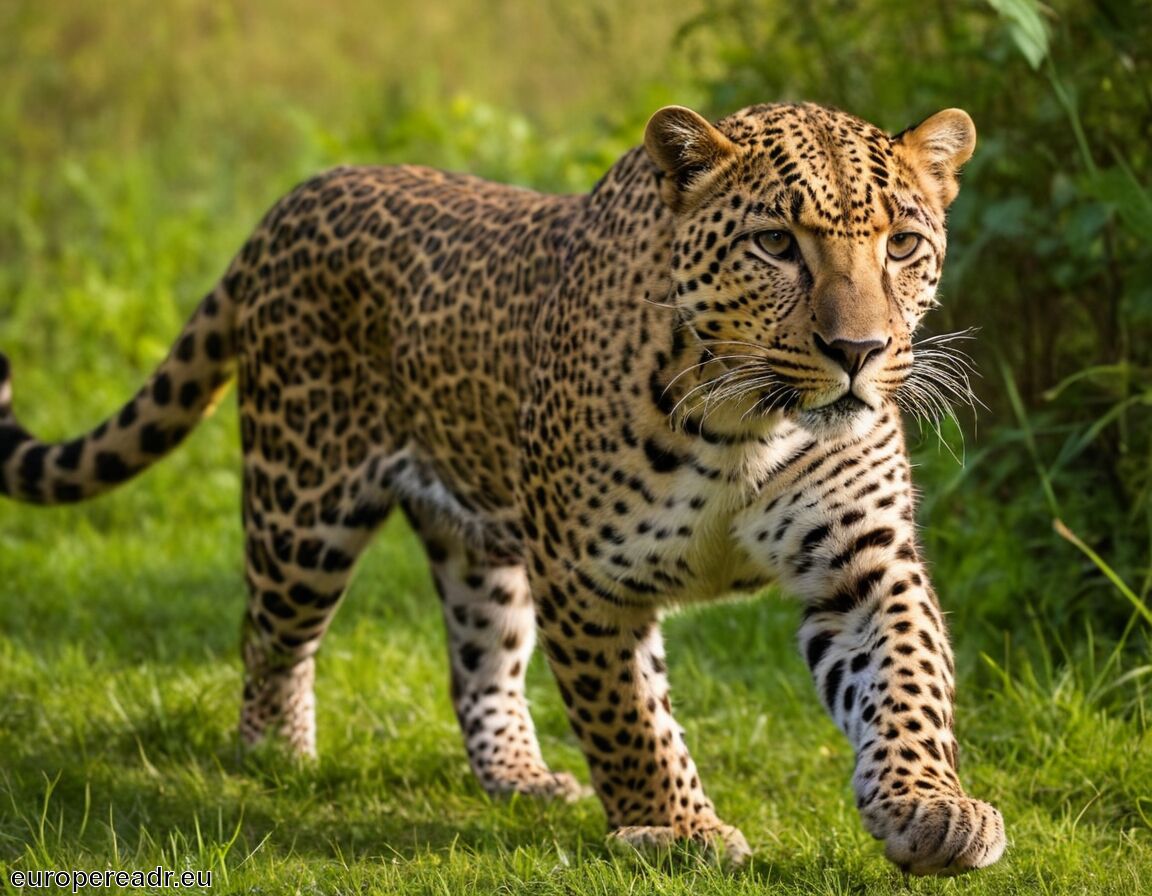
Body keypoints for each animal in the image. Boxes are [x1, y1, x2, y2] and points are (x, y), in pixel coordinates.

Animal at [0, 101, 1006, 875]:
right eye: (774, 244)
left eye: (903, 244)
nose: (858, 352)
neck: (746, 424)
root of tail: (298, 196)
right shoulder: (587, 576)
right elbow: (629, 716)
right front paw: (674, 829)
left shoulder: (862, 562)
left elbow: (908, 684)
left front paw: (931, 809)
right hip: (303, 510)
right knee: (268, 634)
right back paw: (276, 754)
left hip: (477, 542)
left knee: (480, 661)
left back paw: (520, 777)